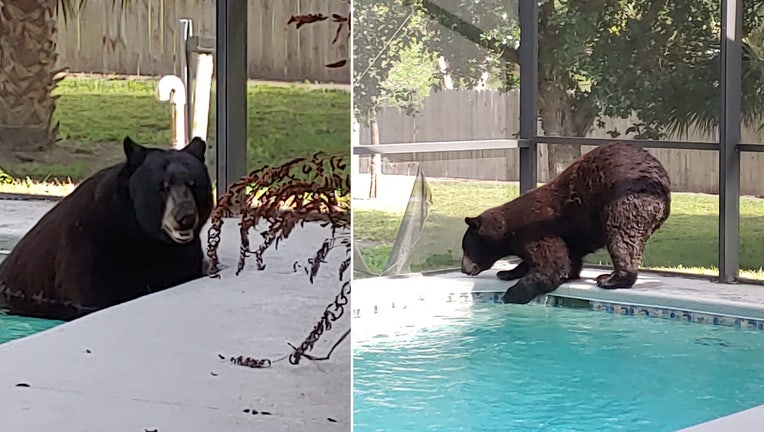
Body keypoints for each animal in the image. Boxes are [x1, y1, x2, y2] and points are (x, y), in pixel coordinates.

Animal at [460, 142, 671, 304]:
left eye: (465, 248)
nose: (463, 268)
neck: (508, 229)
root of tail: (663, 184)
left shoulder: (536, 231)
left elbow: (552, 265)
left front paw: (512, 293)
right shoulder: (566, 239)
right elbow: (568, 262)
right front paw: (507, 272)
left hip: (624, 201)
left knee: (622, 237)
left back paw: (609, 279)